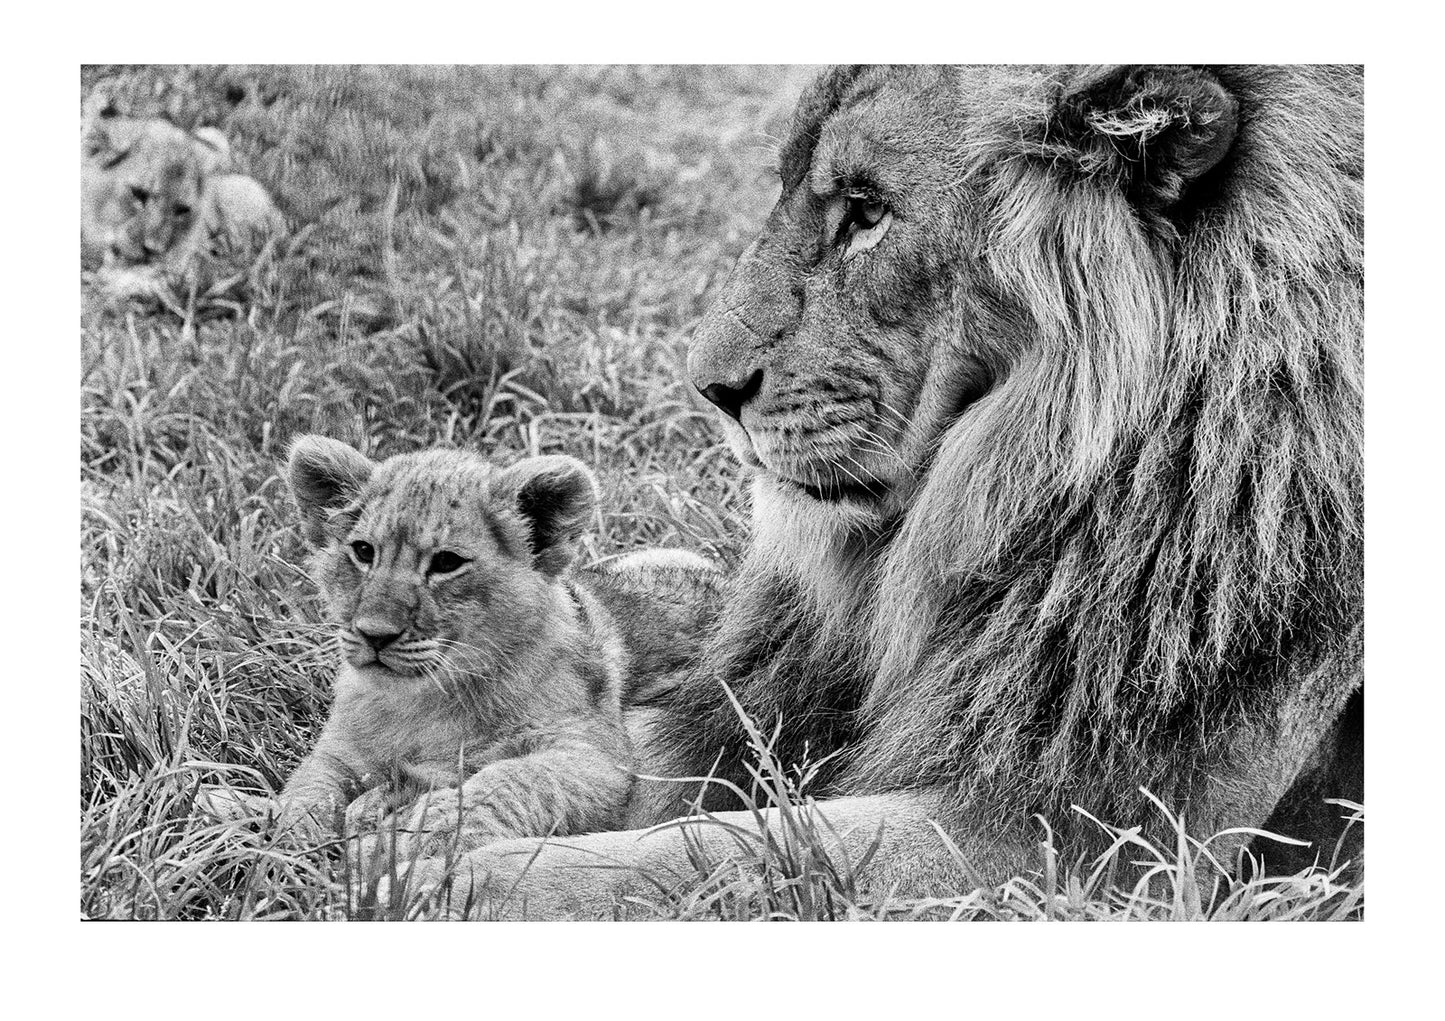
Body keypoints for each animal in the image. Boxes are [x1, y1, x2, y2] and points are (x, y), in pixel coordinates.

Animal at [206, 436, 721, 864]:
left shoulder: (597, 757)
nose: (374, 634)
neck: (421, 702)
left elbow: (509, 779)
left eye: (447, 562)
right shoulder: (340, 753)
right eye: (363, 552)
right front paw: (288, 848)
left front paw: (424, 832)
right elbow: (308, 792)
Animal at [379, 65, 1365, 918]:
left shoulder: (1090, 839)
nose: (708, 388)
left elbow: (714, 853)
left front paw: (453, 879)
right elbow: (627, 753)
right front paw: (414, 823)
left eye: (867, 212)